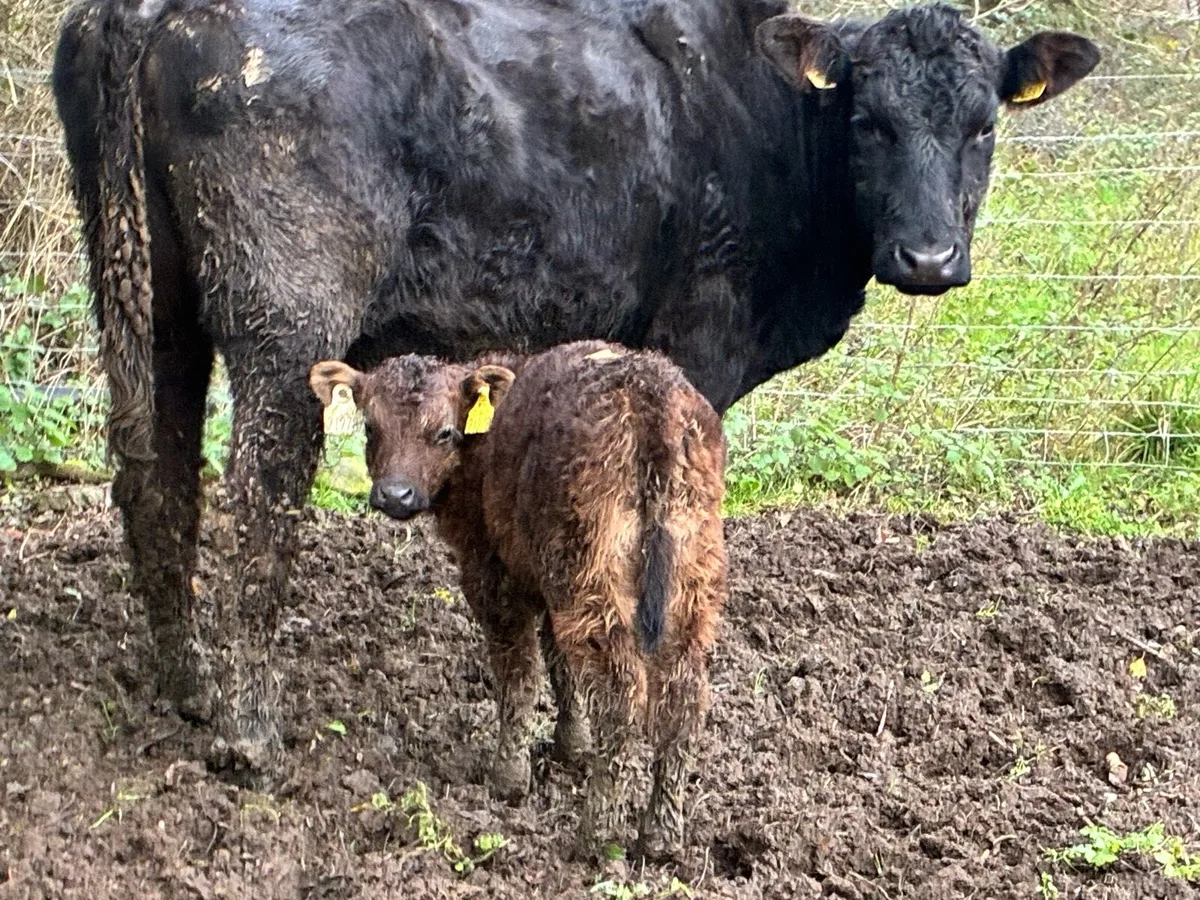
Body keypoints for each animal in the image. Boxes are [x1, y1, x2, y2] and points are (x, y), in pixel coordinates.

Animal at [52, 0, 1100, 775]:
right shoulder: (692, 358)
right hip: (283, 321)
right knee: (260, 498)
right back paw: (248, 732)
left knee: (153, 475)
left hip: (146, 295)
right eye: (869, 121)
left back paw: (188, 688)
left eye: (983, 125)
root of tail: (145, 11)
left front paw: (573, 727)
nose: (929, 258)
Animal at [308, 340, 727, 859]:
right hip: (689, 582)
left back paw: (597, 833)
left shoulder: (494, 577)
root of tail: (650, 395)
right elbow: (560, 665)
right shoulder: (542, 580)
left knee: (623, 700)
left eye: (444, 432)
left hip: (591, 576)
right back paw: (661, 836)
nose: (395, 495)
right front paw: (572, 745)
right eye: (371, 427)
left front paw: (509, 777)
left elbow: (519, 676)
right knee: (682, 698)